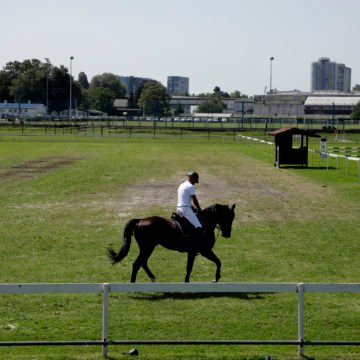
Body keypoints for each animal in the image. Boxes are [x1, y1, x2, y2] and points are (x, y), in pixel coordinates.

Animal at [107, 204, 236, 282]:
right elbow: (212, 263)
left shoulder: (197, 252)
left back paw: (152, 278)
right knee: (137, 264)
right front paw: (216, 278)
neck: (205, 223)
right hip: (147, 248)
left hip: (148, 248)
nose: (227, 234)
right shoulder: (202, 251)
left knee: (142, 262)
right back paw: (133, 283)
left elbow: (212, 263)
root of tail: (140, 220)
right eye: (228, 217)